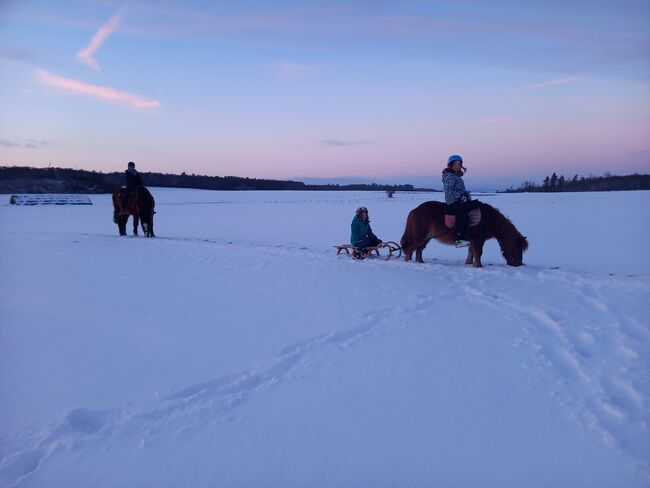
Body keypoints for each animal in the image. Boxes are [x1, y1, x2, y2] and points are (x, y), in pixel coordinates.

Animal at [400, 200, 528, 266]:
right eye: (517, 247)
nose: (519, 264)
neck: (488, 218)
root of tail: (415, 210)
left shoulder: (473, 240)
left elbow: (471, 251)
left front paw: (469, 263)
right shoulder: (478, 239)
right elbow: (478, 253)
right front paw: (478, 266)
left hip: (426, 238)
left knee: (419, 250)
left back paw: (421, 262)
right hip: (420, 237)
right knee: (411, 248)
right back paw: (408, 261)